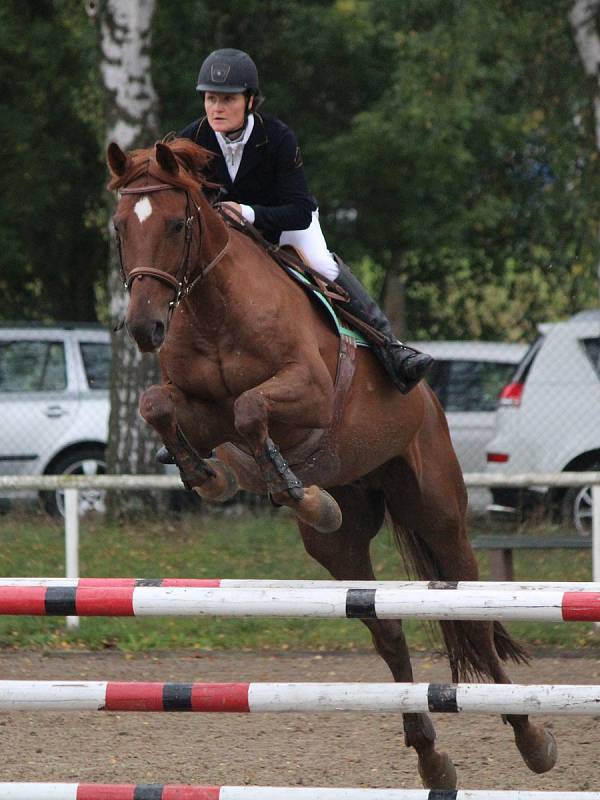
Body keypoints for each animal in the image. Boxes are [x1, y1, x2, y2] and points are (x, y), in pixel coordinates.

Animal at [108, 138, 556, 788]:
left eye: (175, 224)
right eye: (119, 227)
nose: (146, 327)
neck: (215, 309)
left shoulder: (310, 393)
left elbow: (249, 407)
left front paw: (299, 493)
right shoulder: (202, 414)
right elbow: (158, 404)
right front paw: (210, 477)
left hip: (439, 511)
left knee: (470, 615)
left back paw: (532, 737)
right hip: (342, 546)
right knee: (386, 628)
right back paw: (431, 756)